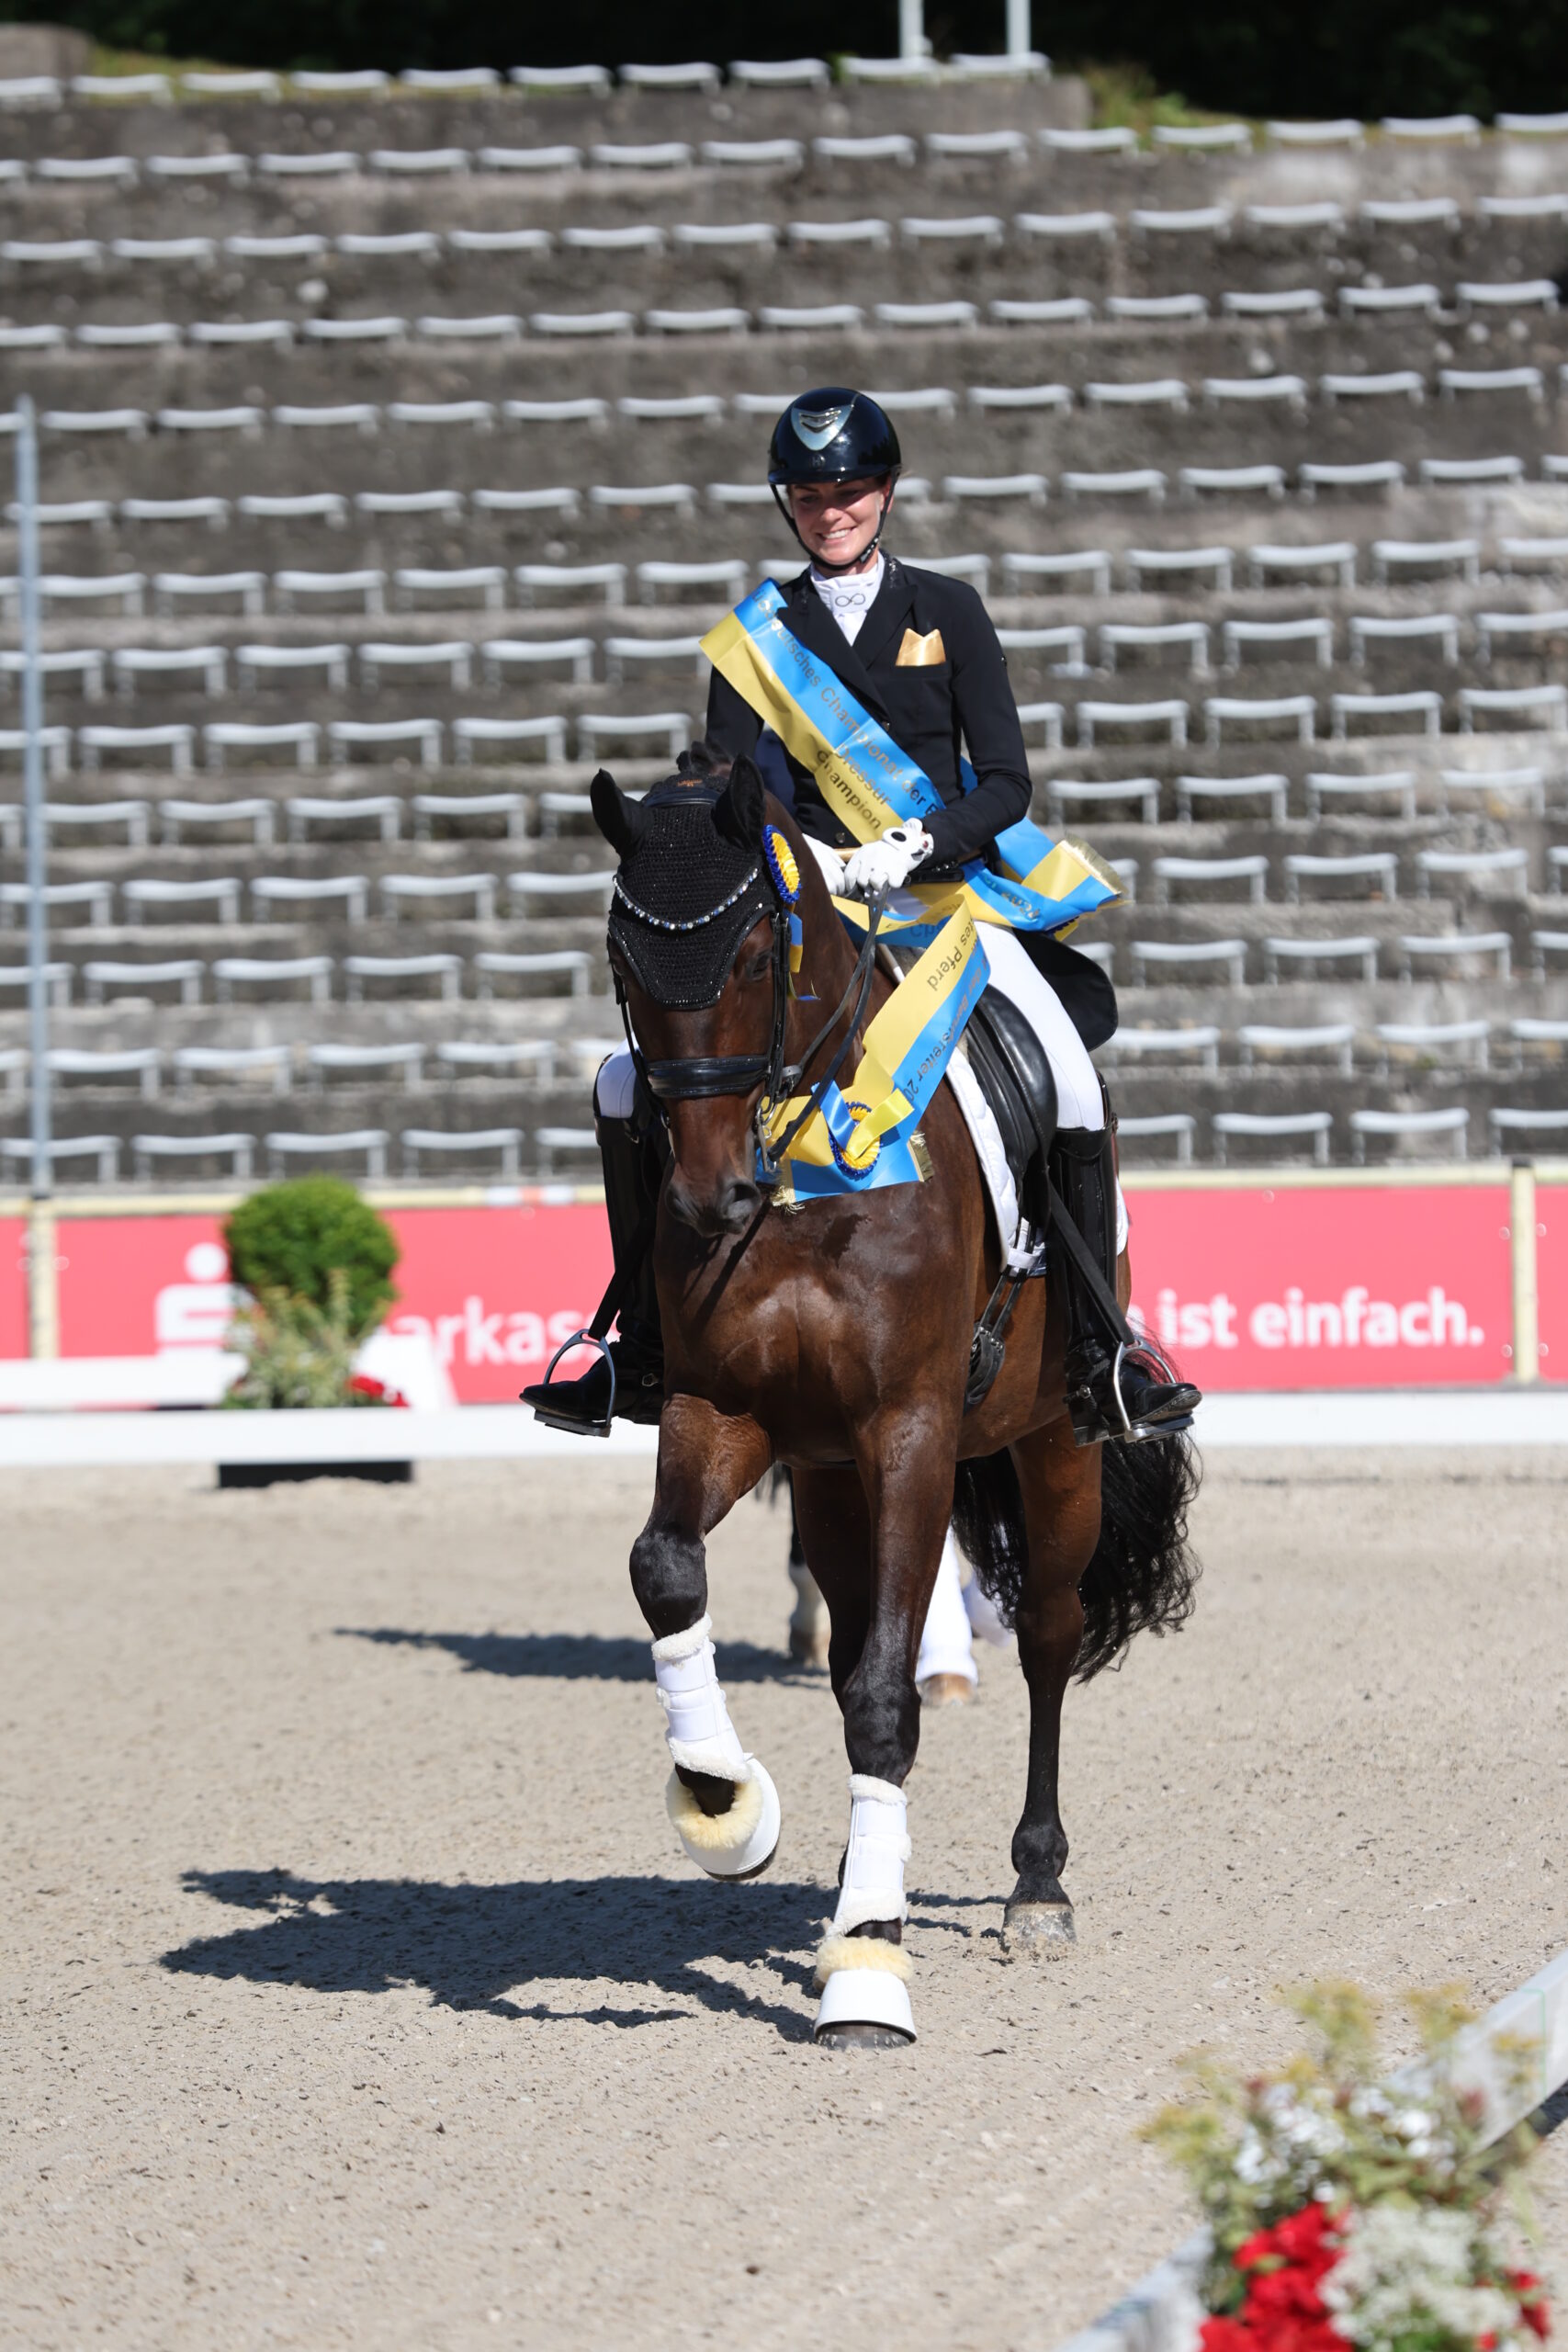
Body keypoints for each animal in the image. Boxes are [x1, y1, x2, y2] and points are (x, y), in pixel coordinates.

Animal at [592, 748, 1203, 2041]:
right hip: (828, 1477)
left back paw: (1034, 1885)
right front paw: (725, 1805)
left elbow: (889, 1689)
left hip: (1054, 1445)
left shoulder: (910, 1428)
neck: (804, 1176)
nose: (712, 1200)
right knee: (843, 1644)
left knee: (1047, 1635)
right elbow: (667, 1568)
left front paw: (869, 1966)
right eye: (624, 963)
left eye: (757, 953)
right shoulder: (727, 1413)